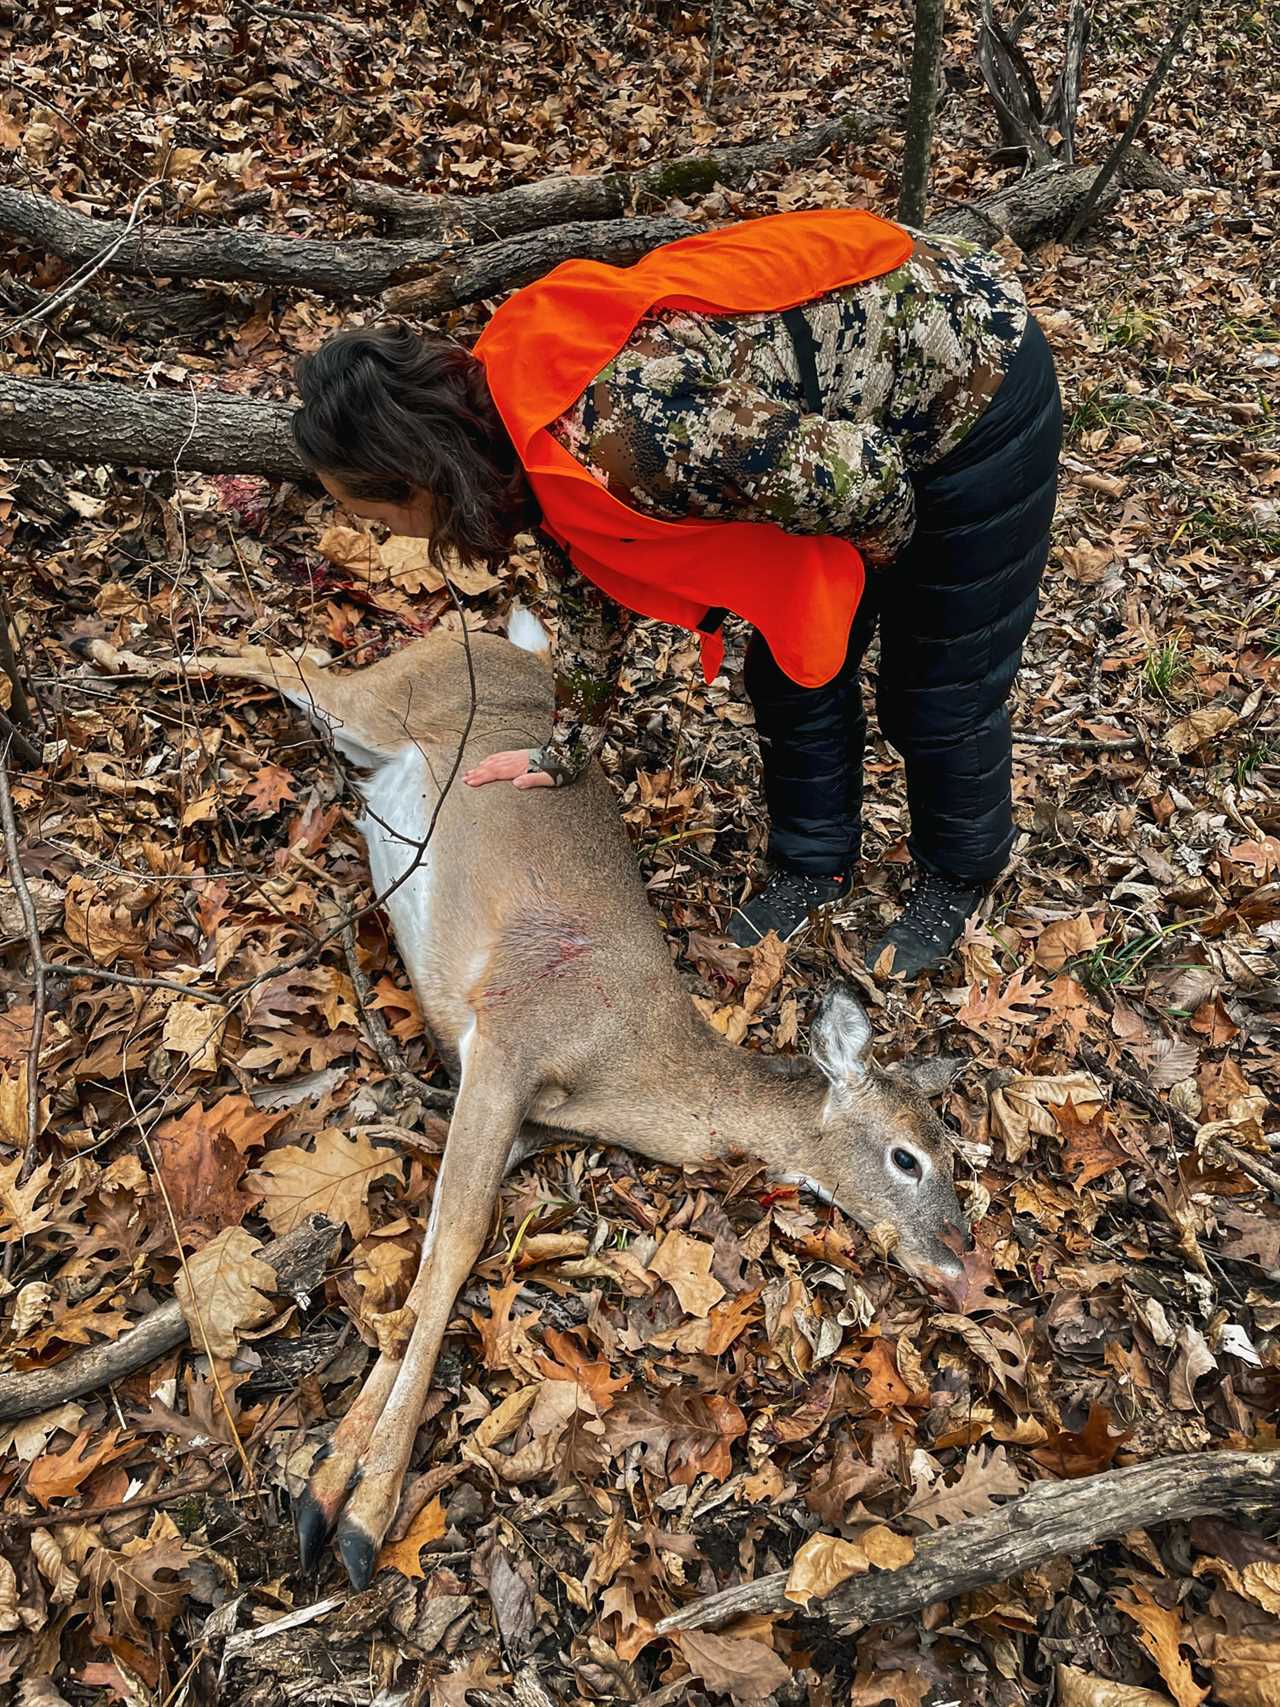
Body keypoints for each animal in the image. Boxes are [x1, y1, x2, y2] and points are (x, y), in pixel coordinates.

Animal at [180, 624, 969, 1584]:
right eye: (907, 1155)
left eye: (954, 1155)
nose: (966, 1265)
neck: (625, 1069)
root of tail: (512, 641)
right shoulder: (510, 1036)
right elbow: (455, 1244)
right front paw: (359, 1509)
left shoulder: (523, 1115)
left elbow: (437, 1250)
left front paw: (335, 1486)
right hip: (384, 696)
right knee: (280, 657)